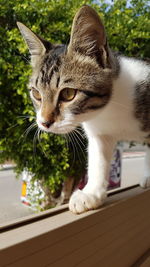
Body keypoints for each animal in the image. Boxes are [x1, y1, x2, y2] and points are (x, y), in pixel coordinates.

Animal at [17, 5, 149, 216]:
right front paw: (91, 193)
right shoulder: (99, 132)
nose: (44, 122)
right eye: (36, 93)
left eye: (68, 94)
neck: (109, 109)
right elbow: (98, 158)